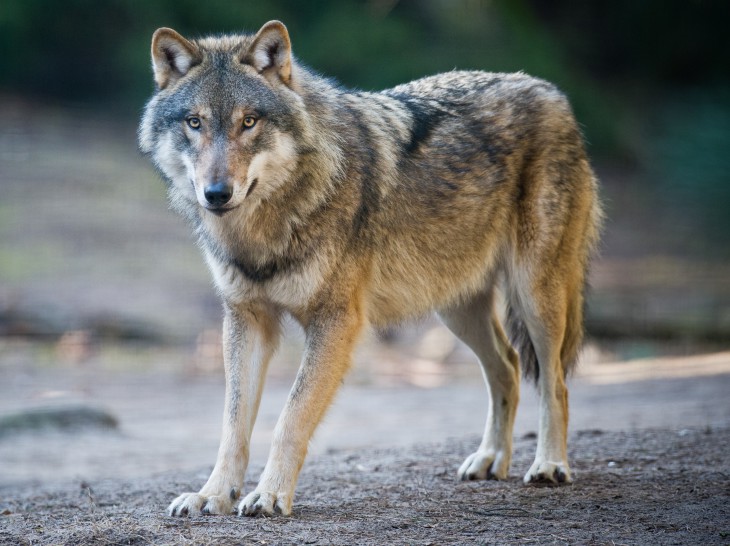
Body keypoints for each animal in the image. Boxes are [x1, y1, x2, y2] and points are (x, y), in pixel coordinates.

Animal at [138, 20, 604, 516]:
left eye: (249, 121)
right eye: (195, 122)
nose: (216, 193)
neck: (267, 227)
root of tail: (550, 90)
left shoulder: (336, 321)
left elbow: (291, 417)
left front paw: (269, 495)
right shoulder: (247, 319)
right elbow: (233, 426)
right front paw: (213, 495)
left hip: (535, 296)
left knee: (556, 382)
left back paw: (550, 465)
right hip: (455, 307)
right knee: (509, 367)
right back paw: (490, 460)